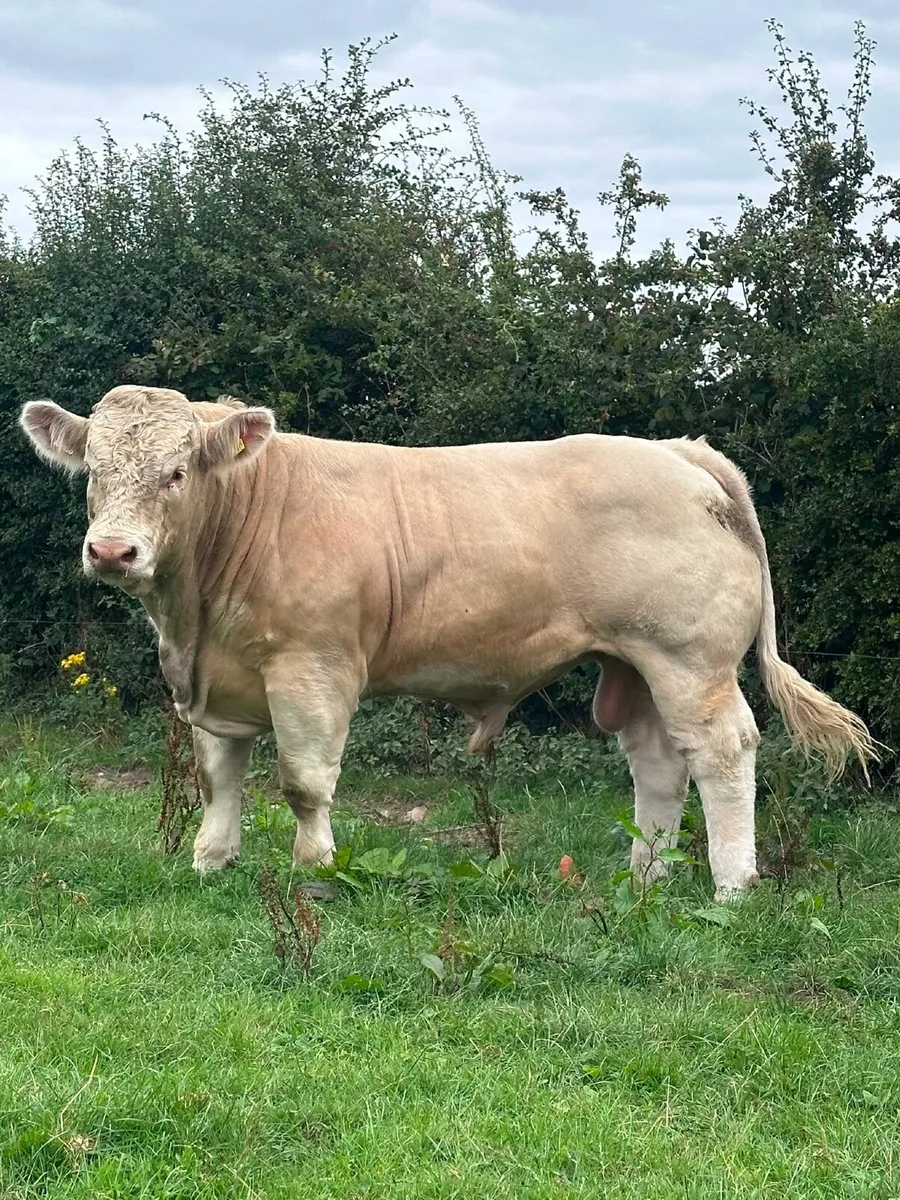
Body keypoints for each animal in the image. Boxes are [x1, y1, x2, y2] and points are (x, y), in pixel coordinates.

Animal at [20, 385, 877, 900]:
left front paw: (315, 870)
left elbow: (304, 783)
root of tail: (678, 449)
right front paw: (211, 861)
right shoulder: (215, 683)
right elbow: (218, 777)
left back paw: (730, 886)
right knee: (660, 764)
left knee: (723, 752)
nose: (113, 551)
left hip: (689, 660)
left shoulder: (313, 669)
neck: (195, 620)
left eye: (176, 471)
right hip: (631, 666)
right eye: (93, 469)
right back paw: (646, 877)